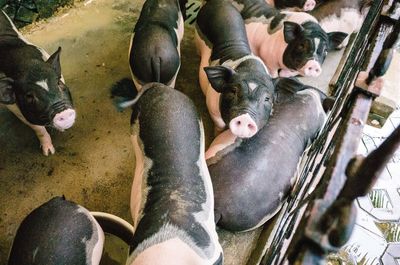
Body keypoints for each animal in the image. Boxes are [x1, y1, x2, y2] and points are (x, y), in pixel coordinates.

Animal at [0, 10, 76, 155]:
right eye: (29, 96)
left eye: (58, 83)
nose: (63, 113)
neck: (27, 65)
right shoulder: (16, 109)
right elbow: (38, 129)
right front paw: (48, 153)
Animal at [195, 0, 276, 138]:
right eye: (233, 91)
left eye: (267, 99)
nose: (245, 118)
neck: (250, 70)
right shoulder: (212, 107)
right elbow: (219, 124)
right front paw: (216, 135)